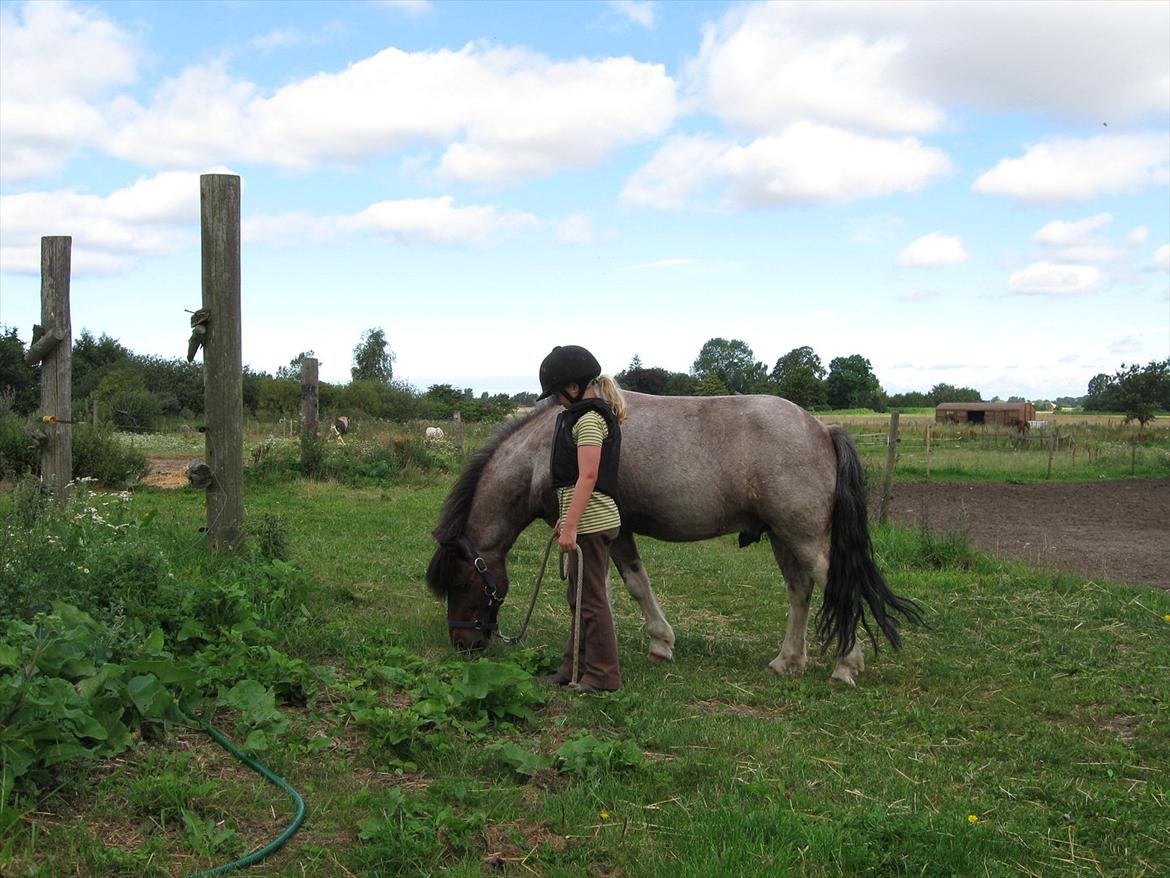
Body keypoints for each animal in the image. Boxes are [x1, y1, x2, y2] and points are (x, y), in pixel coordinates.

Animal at [425, 391, 926, 688]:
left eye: (461, 583)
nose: (463, 643)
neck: (542, 450)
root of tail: (823, 428)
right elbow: (618, 586)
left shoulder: (602, 529)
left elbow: (621, 587)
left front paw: (653, 643)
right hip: (785, 539)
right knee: (799, 592)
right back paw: (788, 661)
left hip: (802, 537)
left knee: (838, 587)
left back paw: (846, 666)